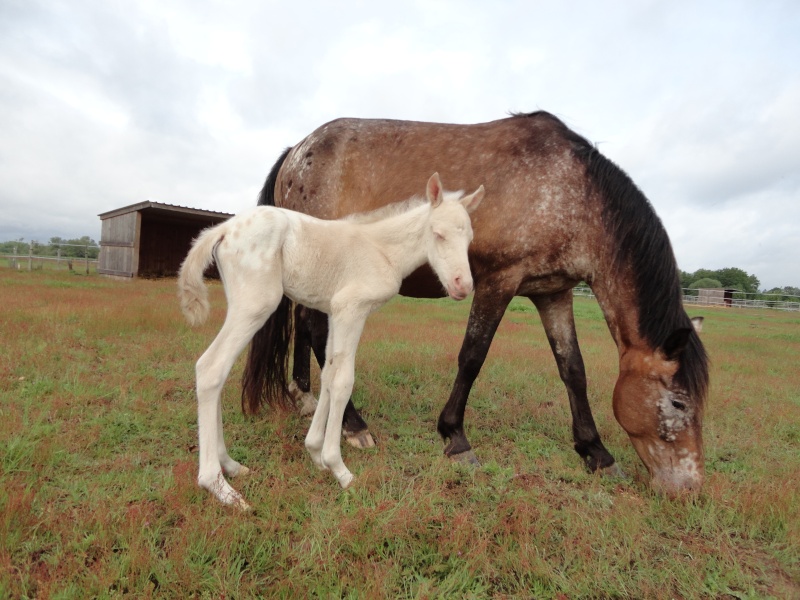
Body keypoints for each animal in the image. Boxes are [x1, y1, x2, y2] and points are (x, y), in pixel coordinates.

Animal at [179, 175, 484, 510]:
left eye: (469, 238)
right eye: (438, 234)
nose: (462, 286)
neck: (381, 249)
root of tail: (223, 229)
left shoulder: (335, 313)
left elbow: (328, 374)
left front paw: (314, 452)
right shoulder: (351, 309)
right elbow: (342, 381)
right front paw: (339, 468)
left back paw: (231, 465)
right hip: (256, 305)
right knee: (211, 368)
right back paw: (219, 486)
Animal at [242, 110, 708, 494]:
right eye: (679, 403)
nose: (689, 488)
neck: (571, 191)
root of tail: (296, 152)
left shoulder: (552, 293)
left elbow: (573, 369)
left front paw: (595, 451)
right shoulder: (498, 282)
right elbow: (472, 356)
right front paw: (456, 438)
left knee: (308, 330)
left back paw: (306, 398)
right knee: (318, 336)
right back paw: (353, 424)